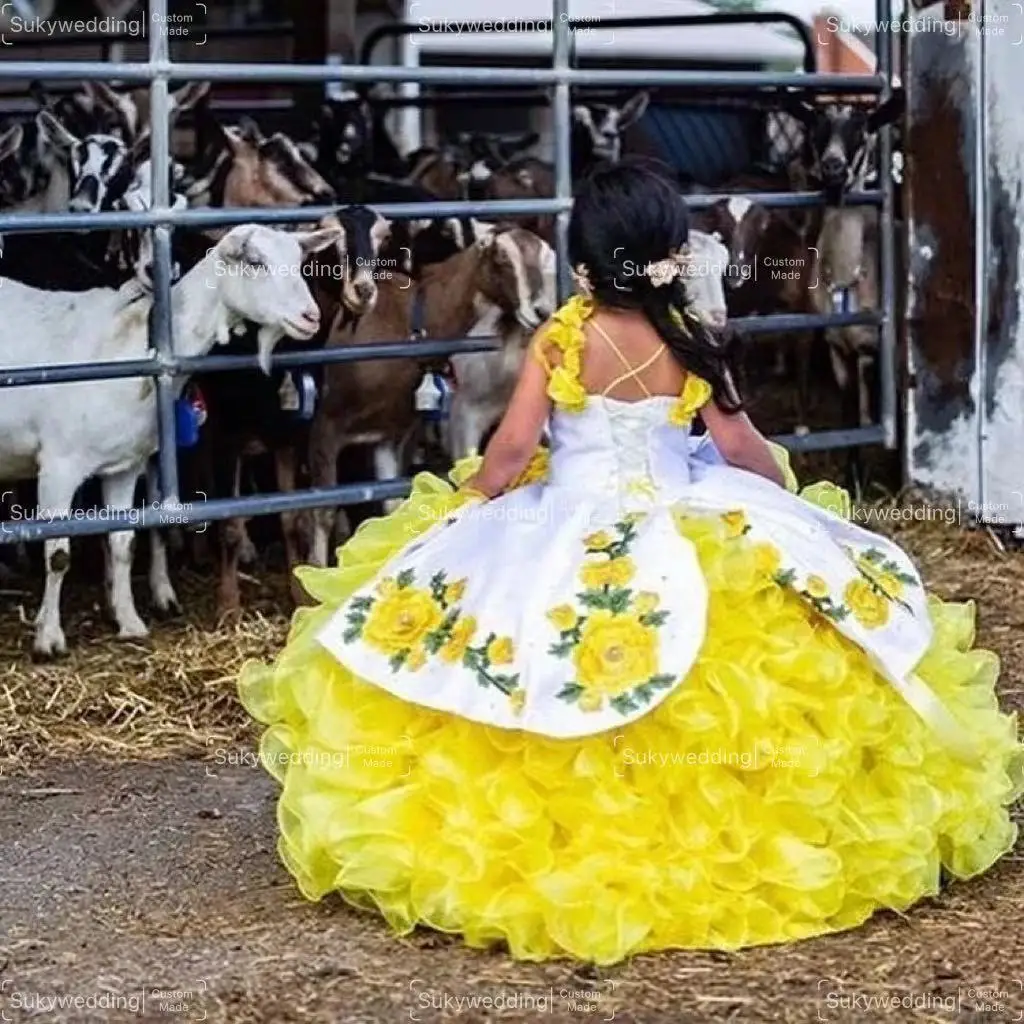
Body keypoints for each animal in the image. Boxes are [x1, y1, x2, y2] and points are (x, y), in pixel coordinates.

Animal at [0, 224, 344, 655]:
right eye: (254, 262)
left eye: (301, 263)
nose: (310, 317)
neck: (135, 345)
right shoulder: (58, 466)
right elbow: (58, 554)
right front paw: (49, 638)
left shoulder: (123, 466)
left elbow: (123, 543)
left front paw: (130, 621)